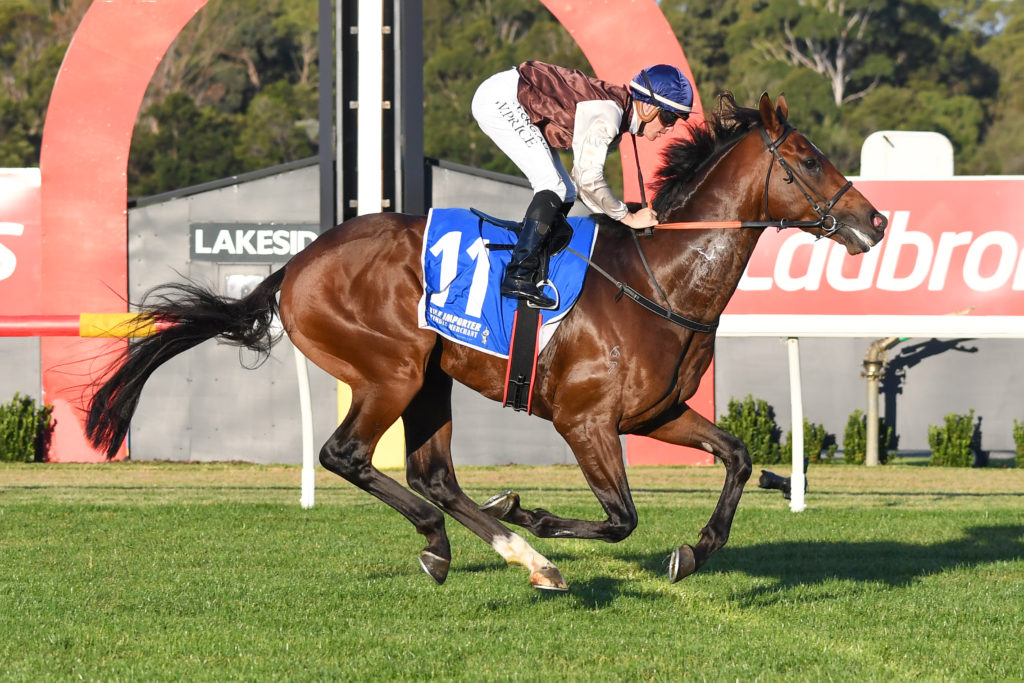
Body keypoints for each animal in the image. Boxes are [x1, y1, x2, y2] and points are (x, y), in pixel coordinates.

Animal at [87, 93, 887, 591]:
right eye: (808, 158)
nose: (875, 222)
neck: (659, 280)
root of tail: (297, 263)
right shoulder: (584, 420)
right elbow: (621, 517)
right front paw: (535, 513)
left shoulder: (653, 414)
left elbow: (739, 457)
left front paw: (695, 550)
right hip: (392, 370)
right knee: (347, 455)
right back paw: (469, 543)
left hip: (431, 377)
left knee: (434, 475)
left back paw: (513, 556)